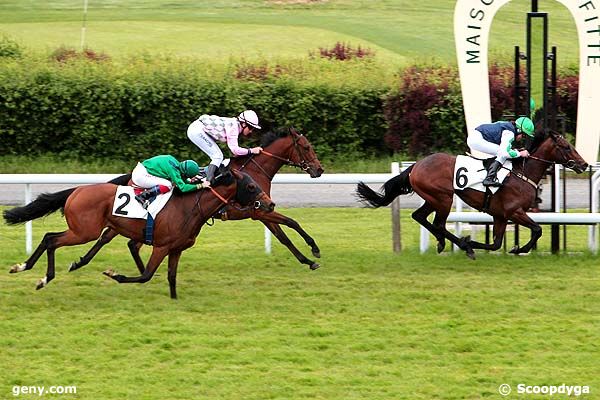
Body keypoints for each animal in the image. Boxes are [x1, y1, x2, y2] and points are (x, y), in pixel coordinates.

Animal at [3, 167, 276, 298]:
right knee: (52, 239)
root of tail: (77, 190)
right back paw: (40, 276)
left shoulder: (176, 249)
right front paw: (114, 274)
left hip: (92, 229)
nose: (271, 204)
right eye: (251, 186)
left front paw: (174, 300)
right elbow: (146, 275)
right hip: (84, 231)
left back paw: (27, 268)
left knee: (50, 237)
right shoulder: (162, 246)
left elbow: (171, 277)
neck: (191, 207)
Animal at [68, 126, 326, 274]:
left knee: (123, 241)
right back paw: (82, 262)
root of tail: (132, 176)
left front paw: (307, 258)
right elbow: (291, 224)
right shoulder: (258, 211)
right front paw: (313, 251)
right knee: (108, 238)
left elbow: (283, 234)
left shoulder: (261, 210)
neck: (255, 170)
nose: (319, 170)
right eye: (306, 147)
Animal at [358, 130, 588, 258]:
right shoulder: (514, 212)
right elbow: (537, 229)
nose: (584, 165)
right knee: (438, 223)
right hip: (443, 198)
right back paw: (460, 245)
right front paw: (517, 249)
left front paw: (509, 248)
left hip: (433, 198)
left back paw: (443, 243)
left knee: (420, 216)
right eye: (566, 147)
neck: (522, 172)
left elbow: (496, 244)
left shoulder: (500, 215)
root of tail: (415, 166)